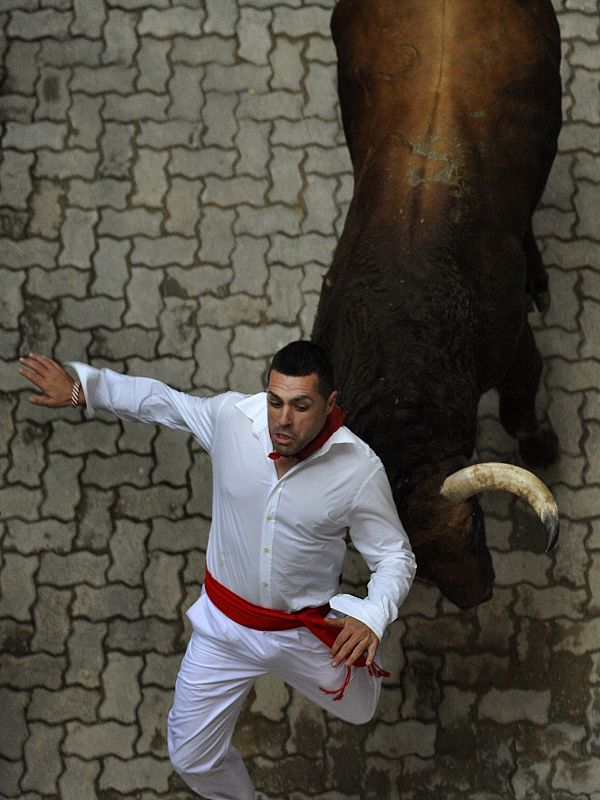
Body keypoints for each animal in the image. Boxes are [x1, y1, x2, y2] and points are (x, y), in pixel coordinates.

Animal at [314, 0, 564, 608]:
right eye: (418, 567)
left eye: (473, 524)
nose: (477, 597)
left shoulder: (516, 349)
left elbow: (519, 409)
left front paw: (542, 446)